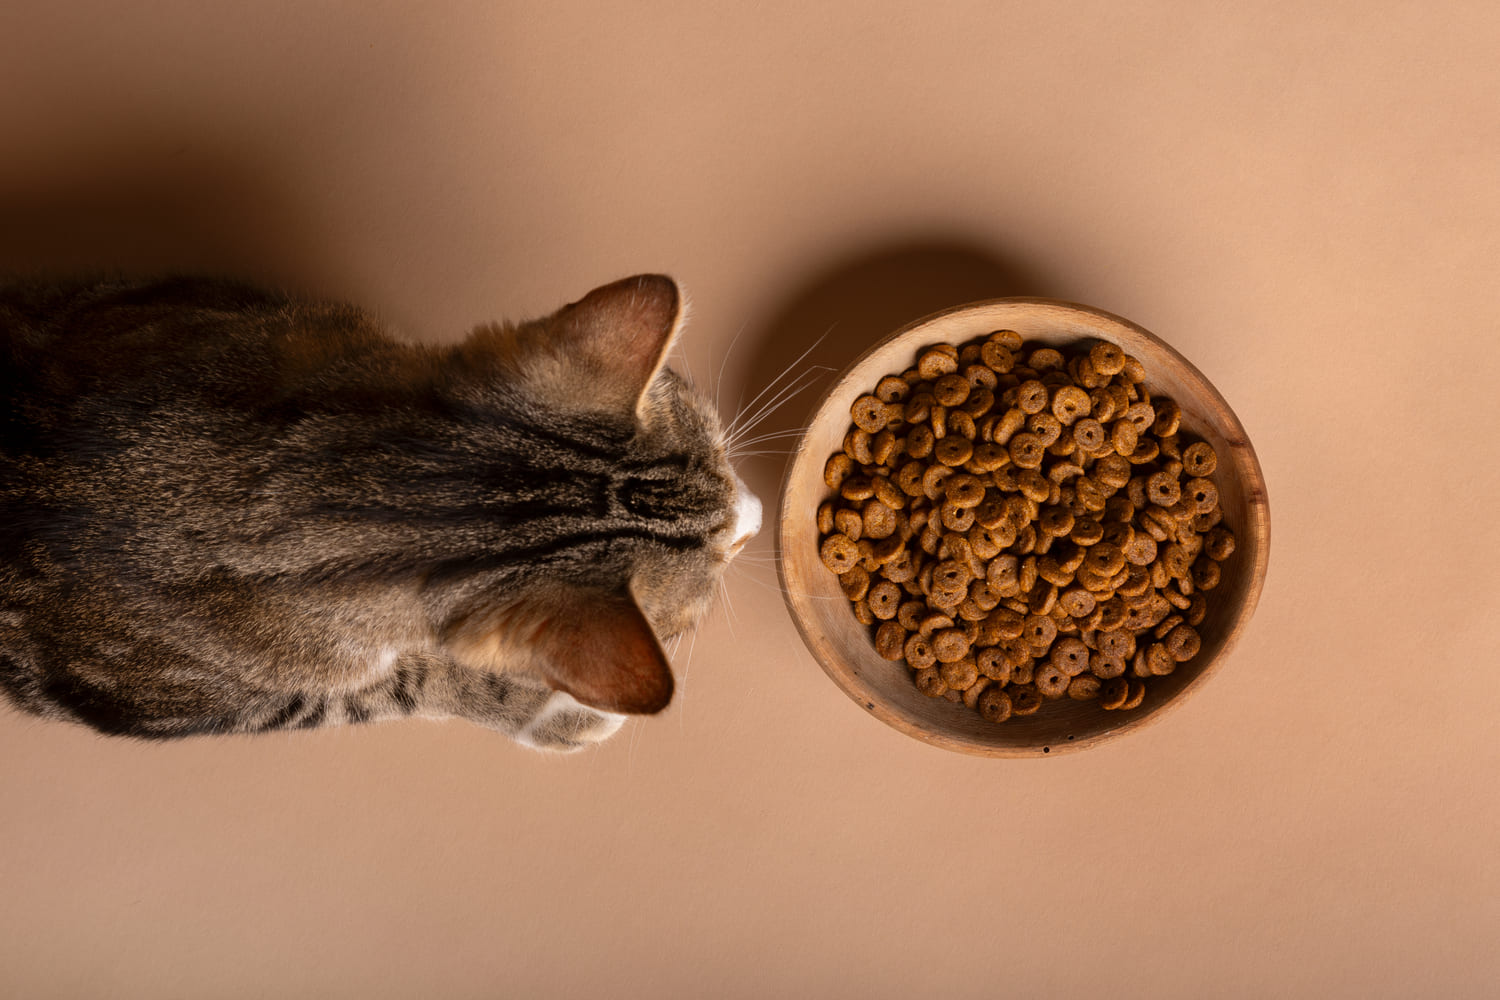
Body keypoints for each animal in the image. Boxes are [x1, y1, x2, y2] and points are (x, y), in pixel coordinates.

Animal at [0, 274, 756, 749]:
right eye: (693, 608)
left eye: (719, 447)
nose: (752, 516)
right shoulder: (217, 703)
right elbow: (400, 685)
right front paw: (549, 711)